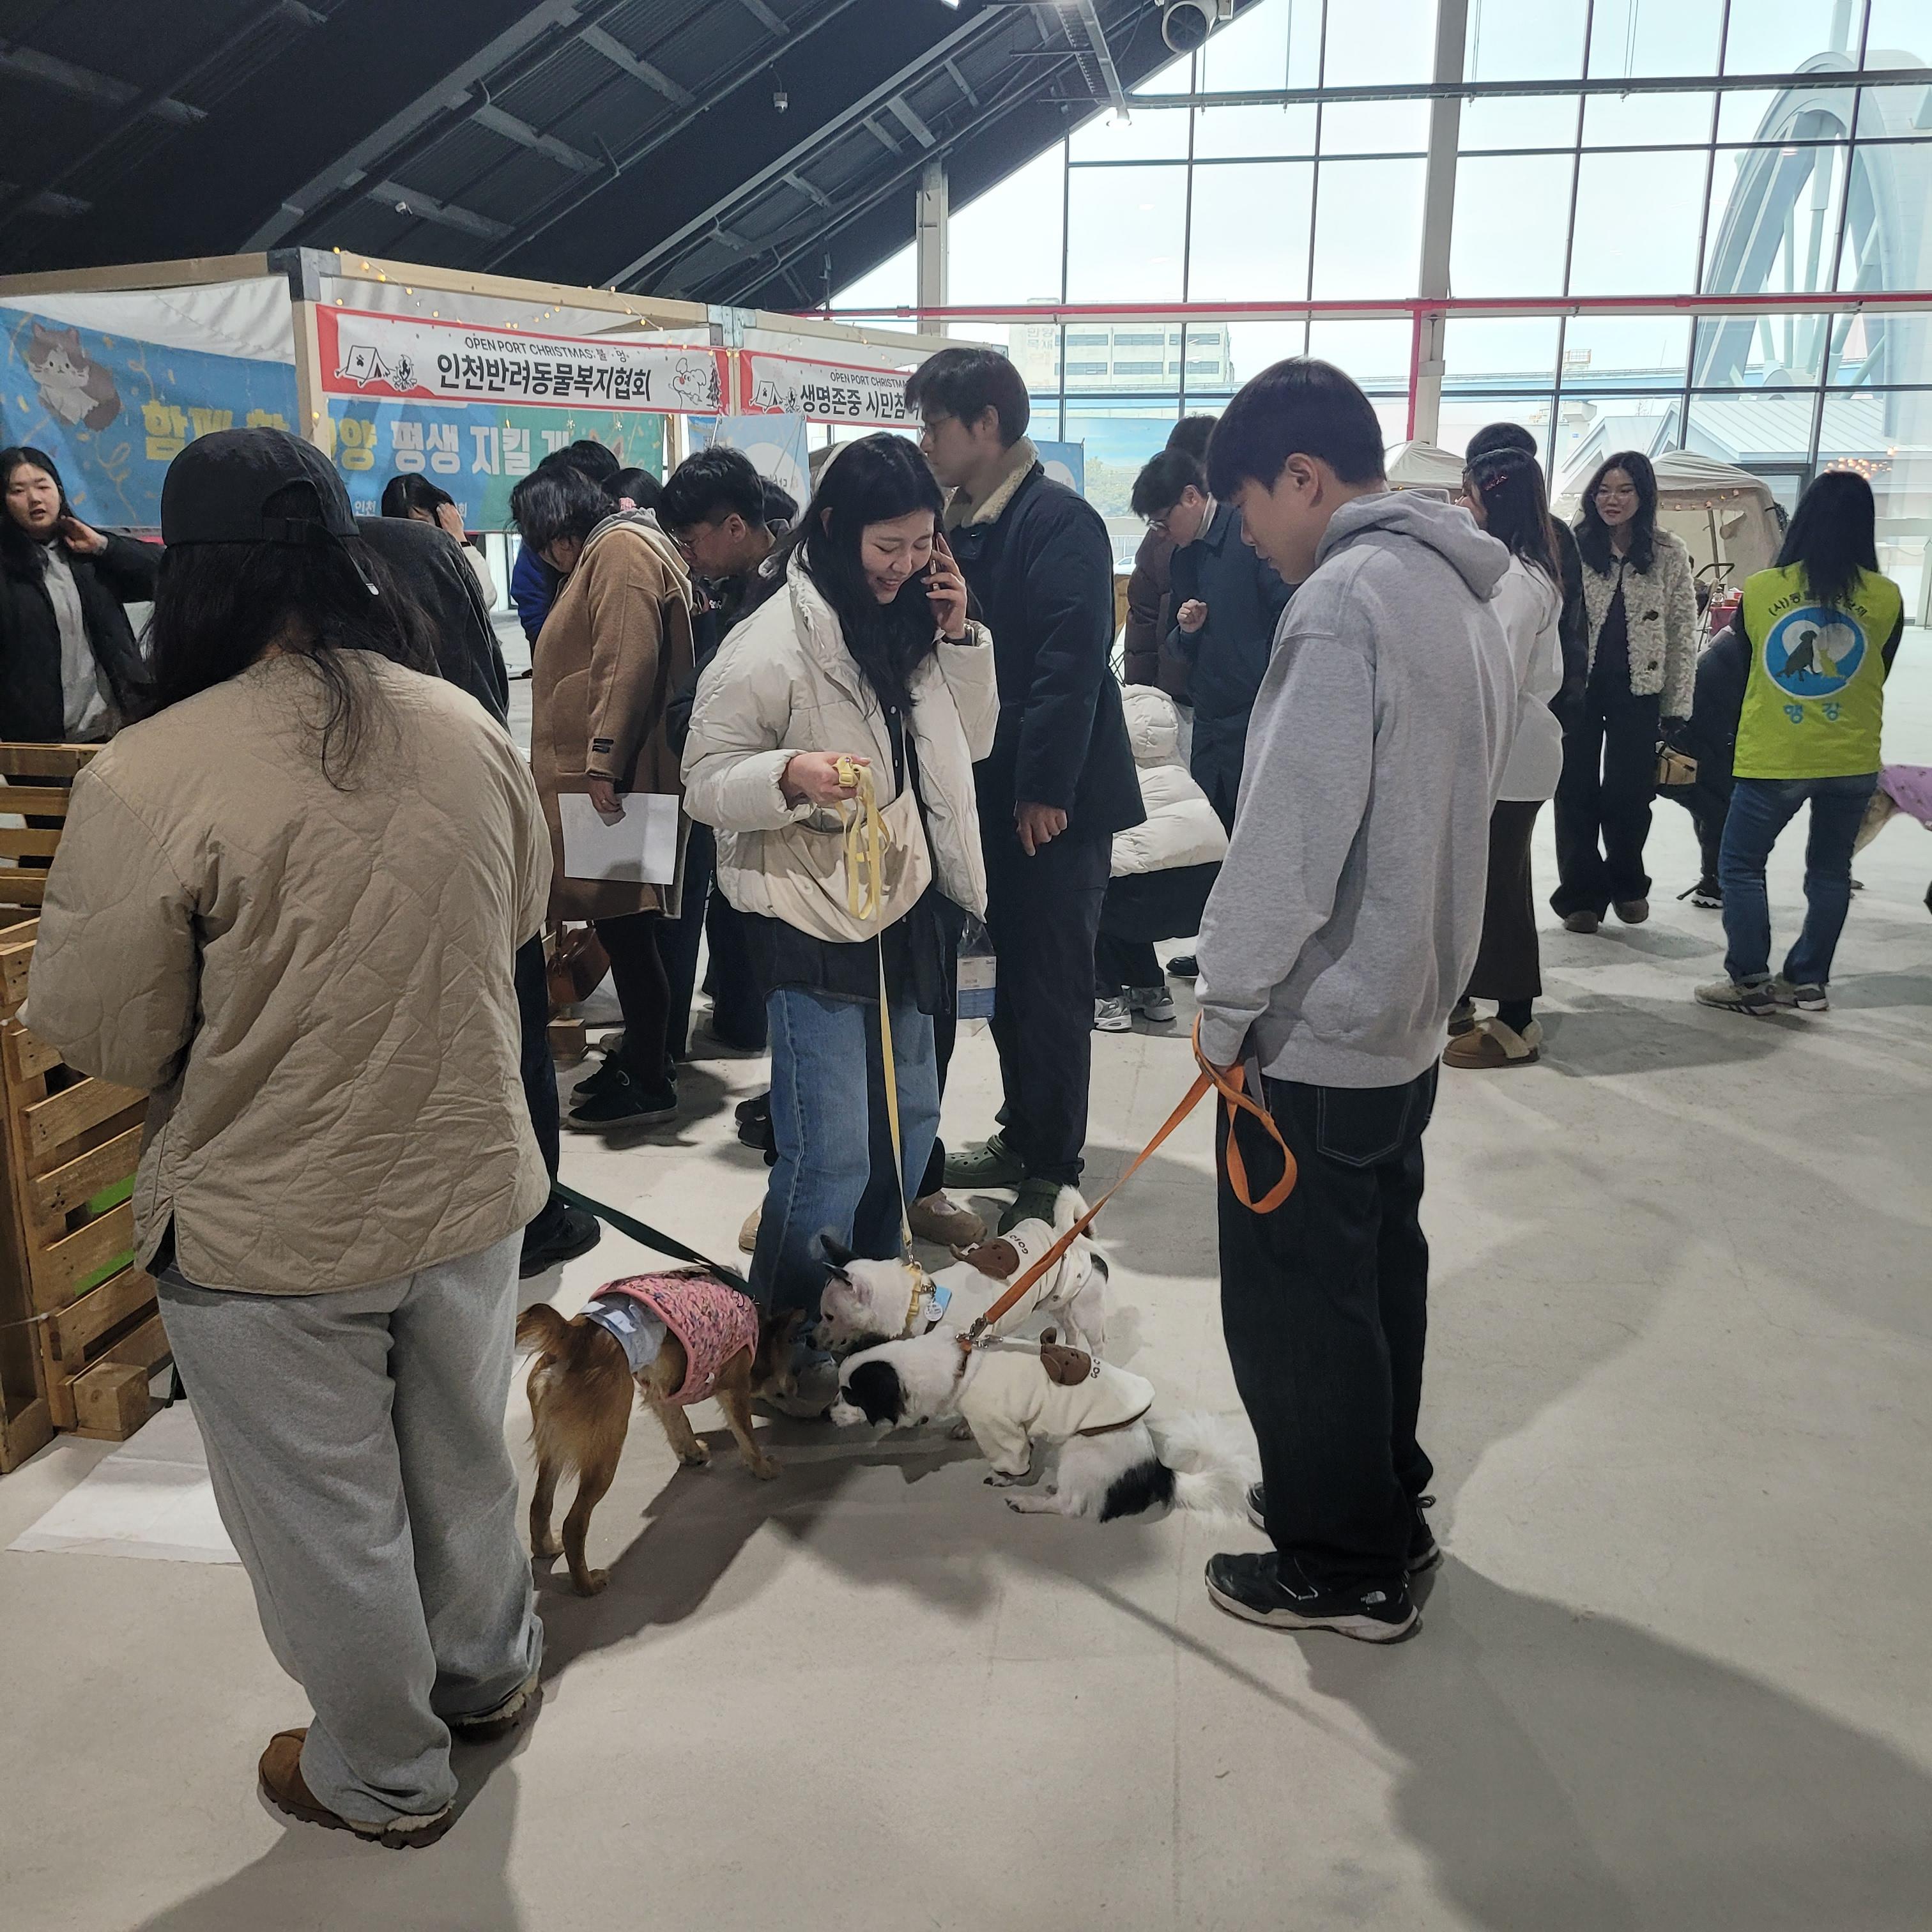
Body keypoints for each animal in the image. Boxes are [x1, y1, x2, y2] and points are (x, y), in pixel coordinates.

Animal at [516, 1272, 805, 1595]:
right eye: (793, 1367)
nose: (798, 1386)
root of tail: (575, 1336)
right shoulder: (735, 1386)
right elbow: (747, 1437)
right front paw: (764, 1468)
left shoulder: (661, 1391)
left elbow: (679, 1423)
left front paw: (693, 1453)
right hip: (607, 1446)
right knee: (575, 1525)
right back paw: (587, 1585)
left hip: (553, 1446)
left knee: (540, 1503)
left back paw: (546, 1547)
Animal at [817, 1189, 1109, 1355]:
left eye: (829, 1316)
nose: (810, 1340)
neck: (920, 1302)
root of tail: (1075, 1236)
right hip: (1059, 1304)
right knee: (1071, 1330)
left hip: (1086, 1312)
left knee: (1097, 1342)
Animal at [829, 1327, 1253, 1523]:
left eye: (850, 1397)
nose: (825, 1415)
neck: (959, 1365)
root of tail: (1156, 1469)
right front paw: (961, 1428)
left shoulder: (999, 1429)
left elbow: (1013, 1460)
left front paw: (1006, 1479)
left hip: (1081, 1450)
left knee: (1071, 1506)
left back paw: (1028, 1501)